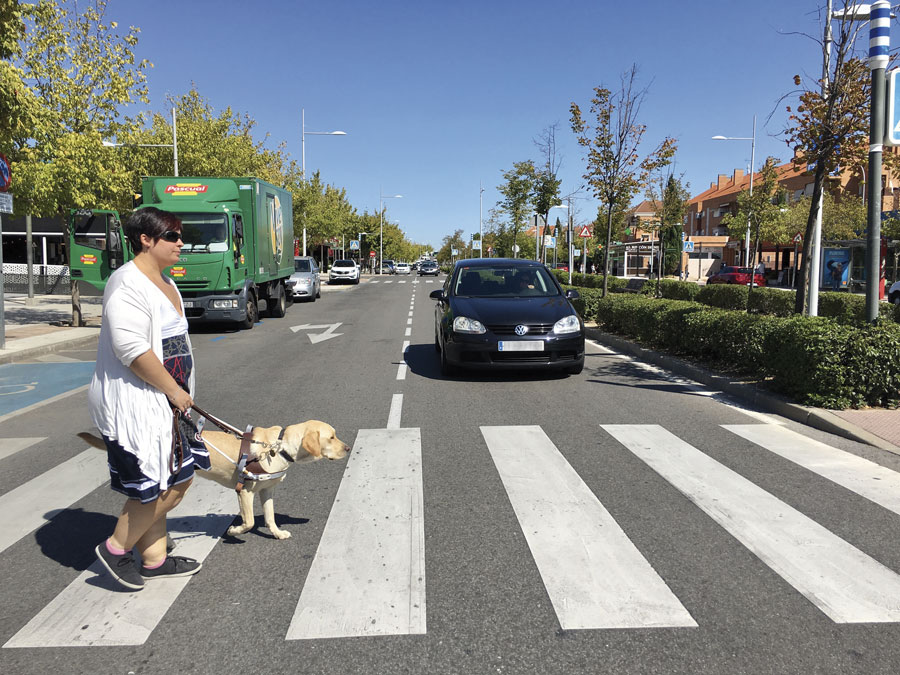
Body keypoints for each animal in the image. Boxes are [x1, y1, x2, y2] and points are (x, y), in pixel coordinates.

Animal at [79, 414, 350, 540]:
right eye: (332, 437)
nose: (348, 448)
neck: (278, 447)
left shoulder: (267, 491)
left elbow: (270, 517)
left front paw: (277, 533)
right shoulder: (245, 491)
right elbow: (249, 522)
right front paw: (235, 531)